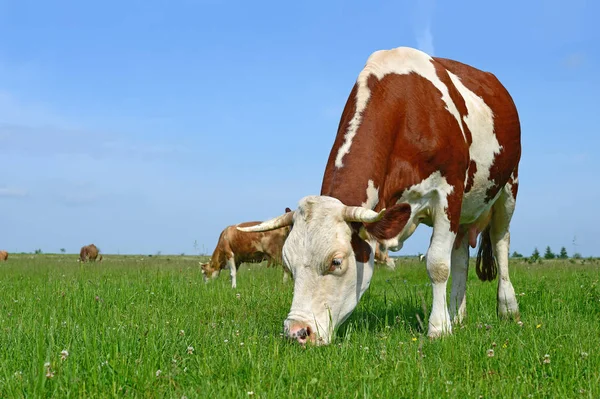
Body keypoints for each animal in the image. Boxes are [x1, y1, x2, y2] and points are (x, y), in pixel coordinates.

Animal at [240, 47, 520, 346]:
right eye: (288, 265)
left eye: (336, 262)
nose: (297, 332)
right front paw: (447, 322)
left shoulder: (449, 193)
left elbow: (437, 264)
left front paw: (438, 328)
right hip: (468, 208)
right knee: (461, 258)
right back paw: (457, 315)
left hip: (508, 187)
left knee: (500, 242)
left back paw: (507, 309)